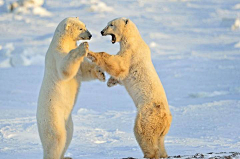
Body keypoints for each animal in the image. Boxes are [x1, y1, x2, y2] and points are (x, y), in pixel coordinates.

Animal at [36, 17, 105, 159]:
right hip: (53, 116)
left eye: (85, 25)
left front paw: (101, 73)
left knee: (69, 134)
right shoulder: (56, 53)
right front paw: (83, 47)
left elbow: (83, 70)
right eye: (80, 28)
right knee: (56, 138)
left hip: (67, 120)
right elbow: (65, 68)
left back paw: (66, 156)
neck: (63, 41)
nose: (90, 35)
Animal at [87, 17, 172, 159]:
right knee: (160, 140)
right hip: (161, 127)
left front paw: (90, 52)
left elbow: (119, 65)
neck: (132, 39)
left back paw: (149, 154)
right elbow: (120, 74)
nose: (102, 31)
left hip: (149, 113)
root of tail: (167, 119)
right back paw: (163, 154)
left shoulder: (131, 53)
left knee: (143, 132)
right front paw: (110, 82)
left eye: (111, 24)